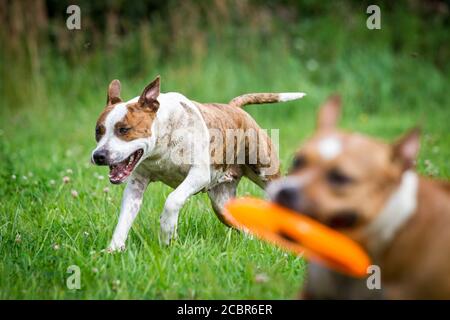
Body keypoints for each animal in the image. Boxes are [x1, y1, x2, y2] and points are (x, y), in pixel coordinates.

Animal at [90, 75, 306, 250]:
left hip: (266, 173)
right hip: (222, 206)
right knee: (244, 227)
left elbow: (172, 200)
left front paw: (167, 232)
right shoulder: (135, 186)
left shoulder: (198, 175)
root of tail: (234, 108)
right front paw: (113, 250)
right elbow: (125, 217)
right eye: (98, 131)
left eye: (124, 129)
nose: (98, 155)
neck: (162, 146)